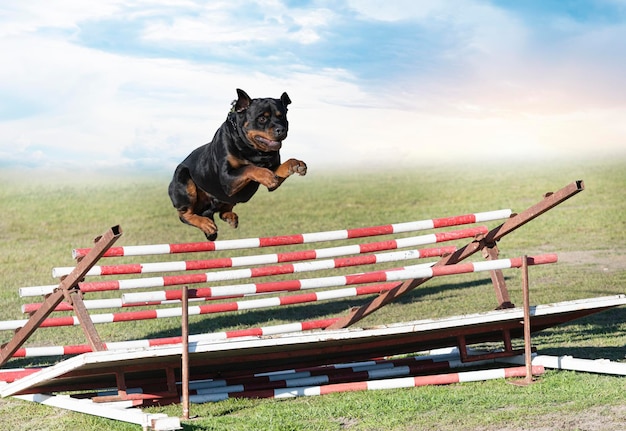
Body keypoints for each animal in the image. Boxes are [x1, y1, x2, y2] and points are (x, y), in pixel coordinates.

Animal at [167, 89, 306, 241]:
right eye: (262, 119)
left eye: (282, 117)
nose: (281, 129)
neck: (253, 150)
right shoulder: (227, 178)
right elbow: (248, 167)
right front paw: (265, 175)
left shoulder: (272, 173)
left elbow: (280, 169)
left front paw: (295, 165)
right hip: (183, 178)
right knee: (184, 214)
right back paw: (206, 224)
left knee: (222, 212)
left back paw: (230, 217)